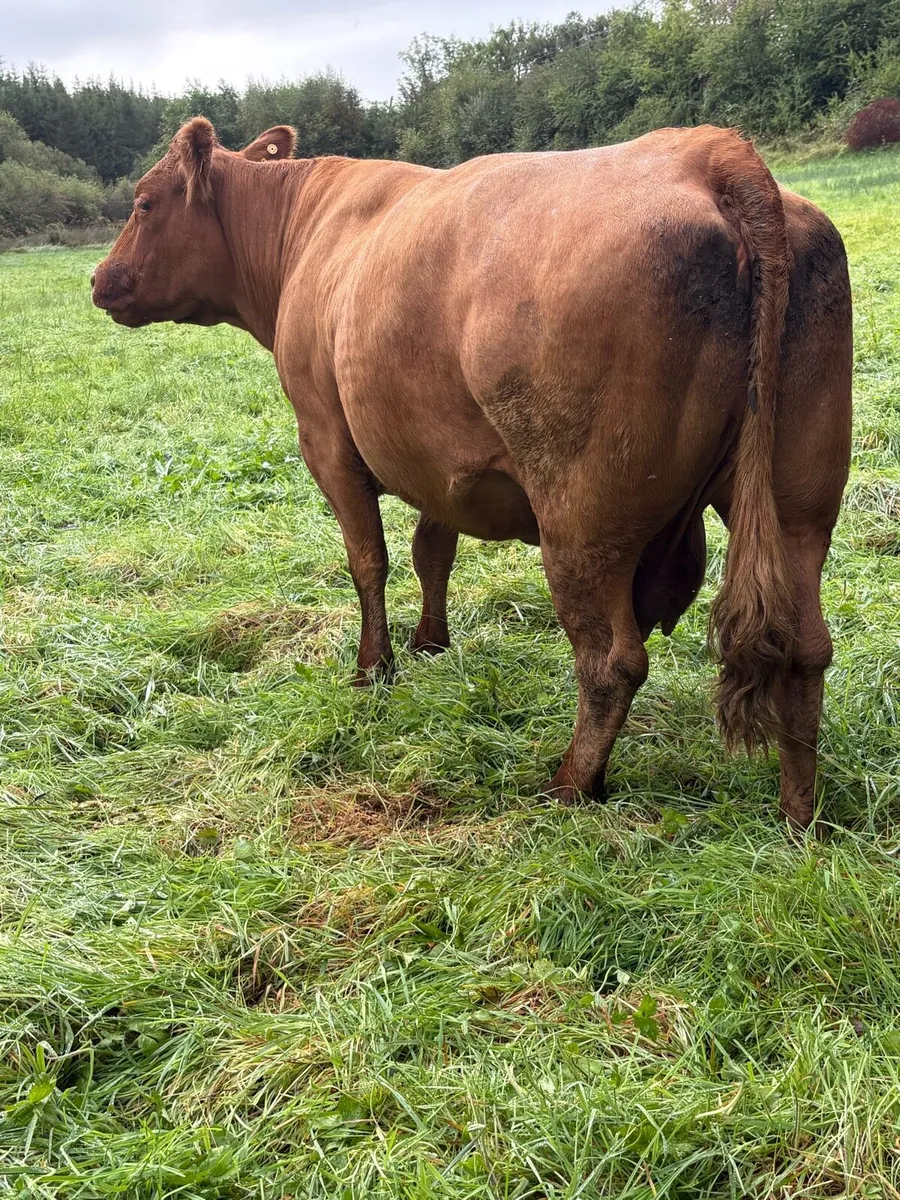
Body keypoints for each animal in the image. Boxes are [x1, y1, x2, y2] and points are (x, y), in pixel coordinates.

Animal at [91, 118, 852, 829]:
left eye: (145, 202)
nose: (98, 279)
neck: (306, 231)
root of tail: (712, 153)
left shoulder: (327, 442)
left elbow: (368, 561)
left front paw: (374, 669)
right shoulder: (437, 460)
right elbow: (434, 551)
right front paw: (432, 644)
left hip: (582, 520)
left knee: (612, 661)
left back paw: (569, 788)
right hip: (798, 502)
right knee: (805, 648)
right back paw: (798, 818)